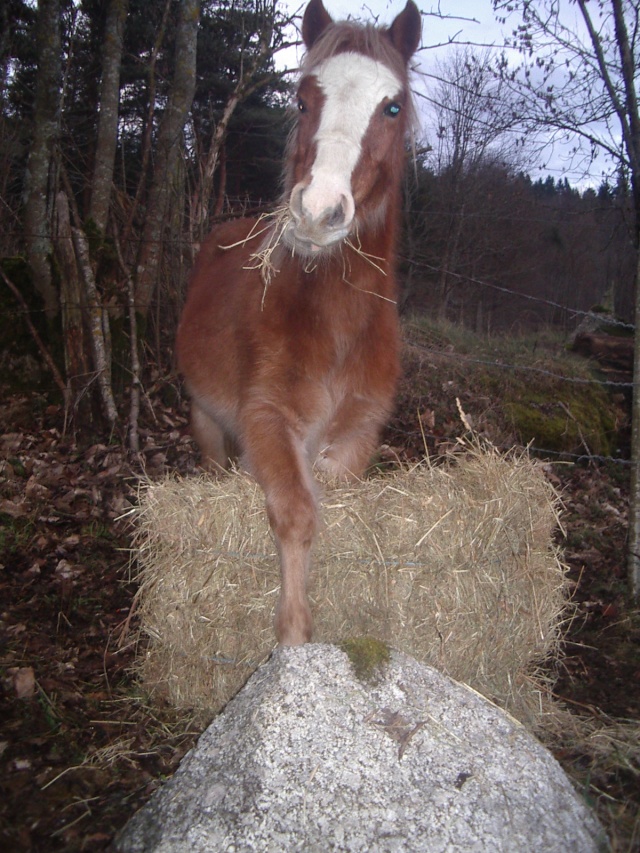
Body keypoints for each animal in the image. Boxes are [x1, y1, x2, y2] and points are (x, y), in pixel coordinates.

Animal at [178, 0, 422, 644]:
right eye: (303, 99)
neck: (336, 329)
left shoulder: (356, 437)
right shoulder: (266, 420)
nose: (317, 213)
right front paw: (292, 637)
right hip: (206, 420)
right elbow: (295, 513)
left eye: (392, 107)